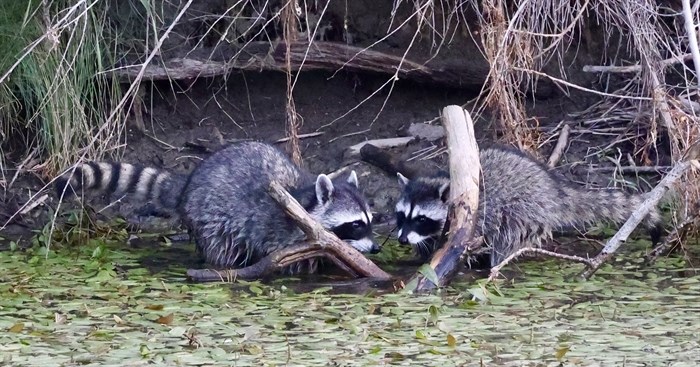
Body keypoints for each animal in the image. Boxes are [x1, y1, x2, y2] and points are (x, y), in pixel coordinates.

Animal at [56, 141, 380, 274]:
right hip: (209, 219)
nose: (377, 249)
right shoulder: (280, 230)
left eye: (370, 221)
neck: (306, 201)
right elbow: (294, 258)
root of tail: (190, 182)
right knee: (221, 249)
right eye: (356, 225)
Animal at [394, 145, 660, 268]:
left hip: (526, 208)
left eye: (421, 219)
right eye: (401, 216)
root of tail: (554, 189)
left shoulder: (478, 216)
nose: (402, 240)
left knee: (507, 236)